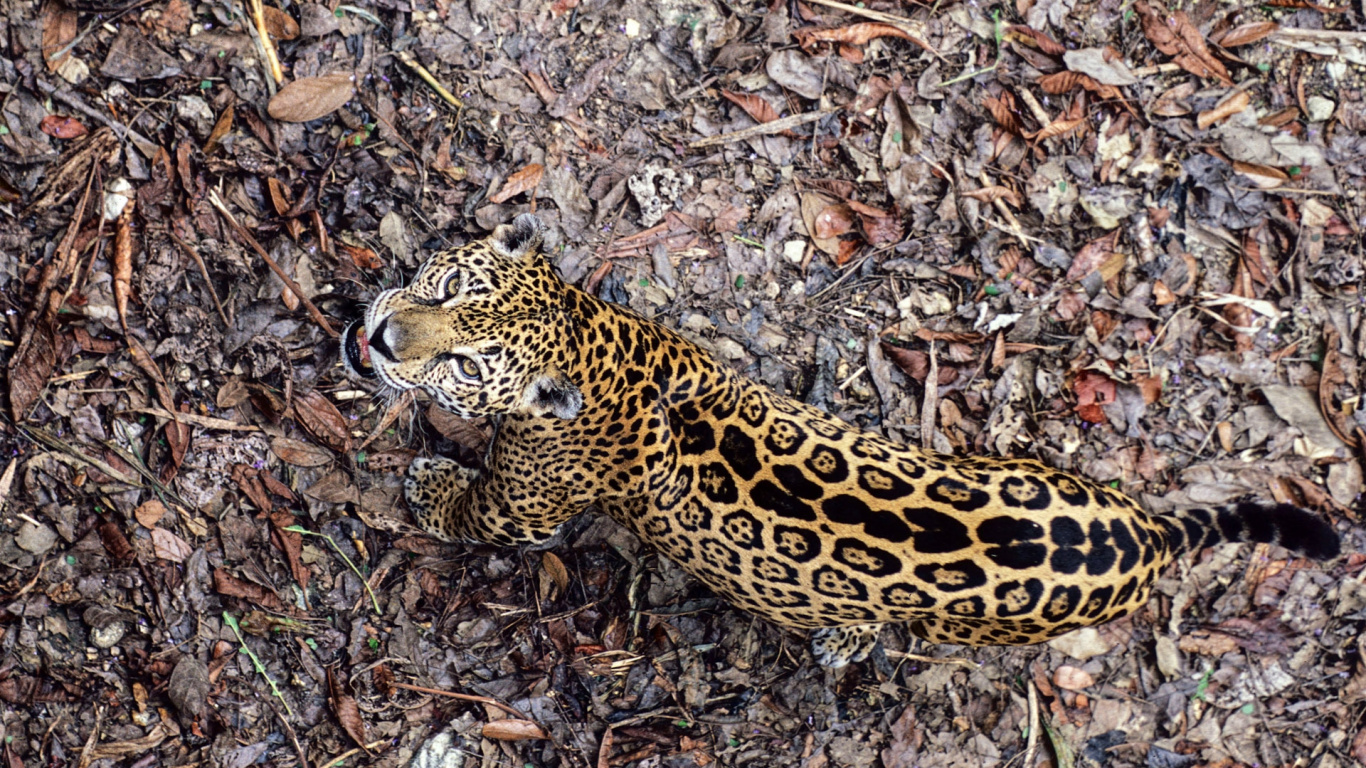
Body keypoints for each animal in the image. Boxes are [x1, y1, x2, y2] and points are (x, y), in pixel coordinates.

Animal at [343, 213, 1341, 668]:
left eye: (466, 362)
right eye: (440, 284)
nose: (382, 337)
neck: (596, 340)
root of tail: (1147, 536)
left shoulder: (527, 502)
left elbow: (478, 512)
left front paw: (428, 485)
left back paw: (842, 642)